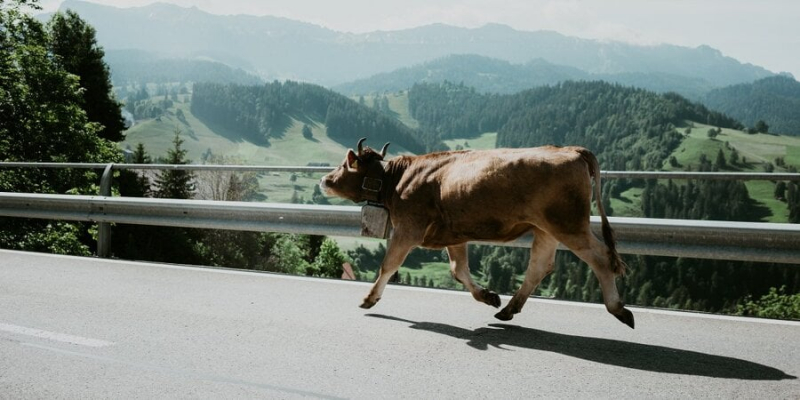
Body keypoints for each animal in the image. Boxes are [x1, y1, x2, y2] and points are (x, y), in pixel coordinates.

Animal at [318, 138, 632, 328]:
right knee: (539, 266)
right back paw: (507, 309)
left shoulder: (408, 229)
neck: (397, 180)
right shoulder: (453, 235)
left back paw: (618, 308)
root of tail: (572, 149)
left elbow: (388, 265)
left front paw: (370, 298)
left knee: (601, 258)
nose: (323, 179)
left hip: (569, 225)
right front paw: (488, 296)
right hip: (547, 229)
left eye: (344, 163)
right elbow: (459, 270)